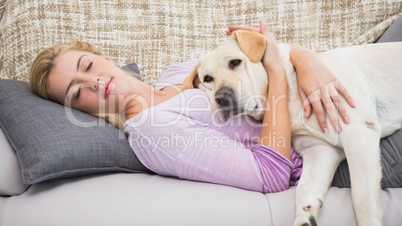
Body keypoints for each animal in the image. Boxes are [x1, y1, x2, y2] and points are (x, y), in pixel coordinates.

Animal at [181, 30, 402, 226]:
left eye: (235, 62)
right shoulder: (320, 150)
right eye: (207, 79)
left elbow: (361, 198)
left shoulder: (358, 132)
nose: (222, 97)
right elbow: (305, 188)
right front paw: (306, 217)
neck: (292, 93)